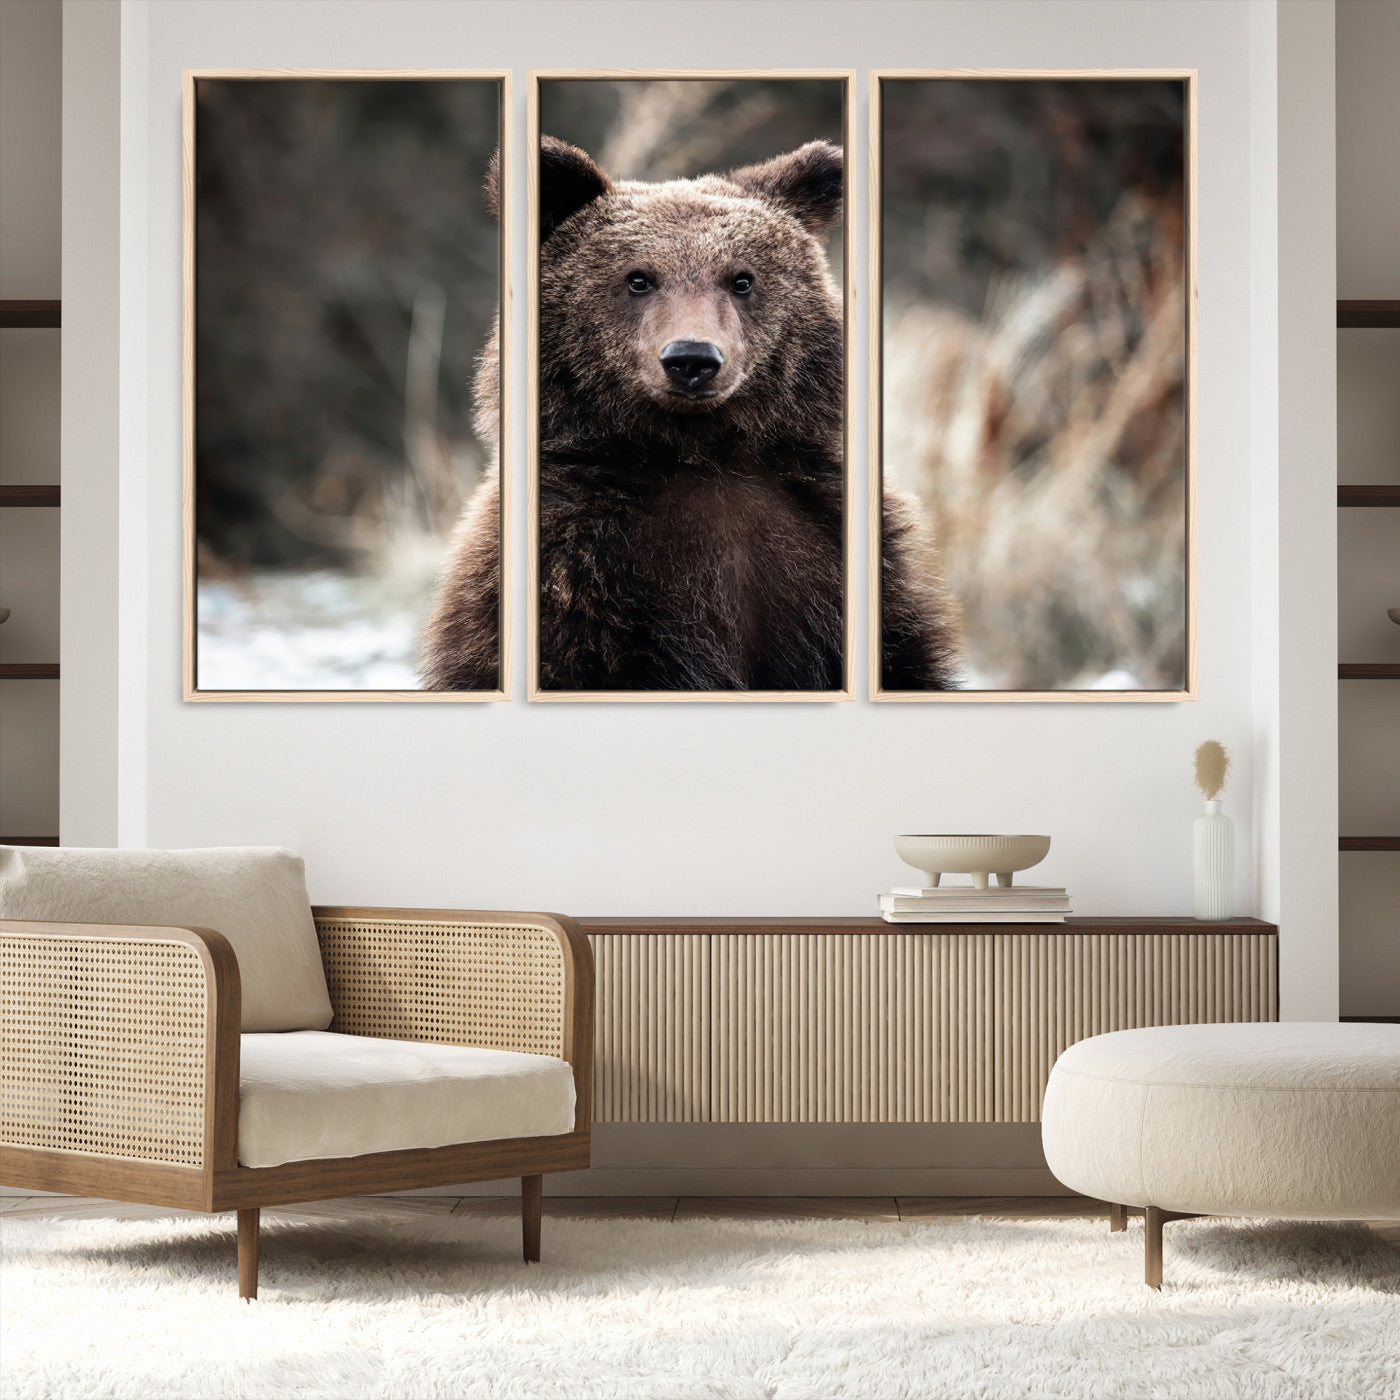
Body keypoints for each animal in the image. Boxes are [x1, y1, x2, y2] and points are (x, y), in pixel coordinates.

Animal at [420, 136, 958, 693]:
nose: (692, 358)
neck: (698, 450)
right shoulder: (576, 568)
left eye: (741, 279)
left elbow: (903, 656)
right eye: (638, 278)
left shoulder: (826, 544)